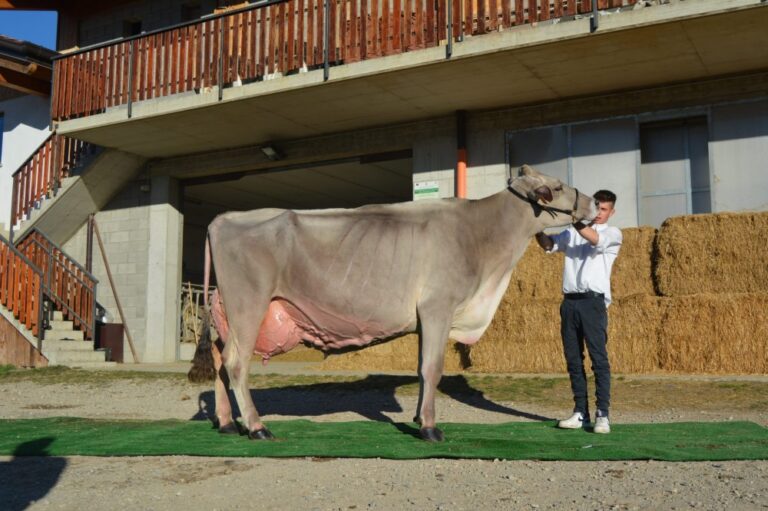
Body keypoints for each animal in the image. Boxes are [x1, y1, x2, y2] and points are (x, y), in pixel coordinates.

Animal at [189, 163, 596, 440]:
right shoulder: (438, 307)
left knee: (220, 363)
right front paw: (430, 428)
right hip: (249, 303)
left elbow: (420, 369)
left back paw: (226, 424)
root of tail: (222, 219)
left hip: (229, 313)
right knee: (236, 363)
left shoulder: (424, 319)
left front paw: (417, 418)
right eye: (557, 186)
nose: (594, 202)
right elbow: (432, 369)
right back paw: (257, 427)